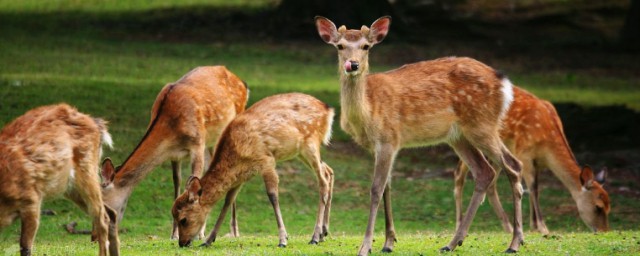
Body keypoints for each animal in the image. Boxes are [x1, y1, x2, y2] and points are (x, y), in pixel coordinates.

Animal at [0, 103, 119, 256]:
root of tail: (97, 124)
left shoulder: (32, 199)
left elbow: (25, 246)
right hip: (71, 188)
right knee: (111, 213)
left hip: (87, 171)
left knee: (102, 217)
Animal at [100, 65, 250, 240]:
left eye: (105, 206)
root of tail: (242, 82)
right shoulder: (174, 154)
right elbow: (177, 183)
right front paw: (174, 234)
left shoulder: (197, 143)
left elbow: (193, 182)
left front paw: (194, 233)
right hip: (211, 141)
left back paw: (234, 231)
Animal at [172, 92, 338, 248]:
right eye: (173, 215)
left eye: (183, 219)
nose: (182, 243)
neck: (237, 155)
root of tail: (329, 110)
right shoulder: (241, 176)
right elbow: (228, 201)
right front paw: (208, 240)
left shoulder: (266, 160)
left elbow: (272, 196)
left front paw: (283, 239)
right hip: (301, 153)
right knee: (328, 171)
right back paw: (323, 232)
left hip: (311, 143)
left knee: (323, 181)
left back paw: (315, 237)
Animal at [318, 16, 528, 254]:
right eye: (340, 46)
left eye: (366, 46)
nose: (353, 64)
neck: (367, 111)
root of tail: (505, 84)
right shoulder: (381, 146)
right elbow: (387, 187)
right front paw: (388, 242)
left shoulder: (388, 138)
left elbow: (376, 189)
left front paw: (366, 246)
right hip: (459, 136)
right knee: (485, 172)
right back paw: (453, 243)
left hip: (482, 124)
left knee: (513, 165)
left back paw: (514, 242)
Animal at [452, 86, 612, 234]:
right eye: (598, 207)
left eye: (609, 206)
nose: (604, 231)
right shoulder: (525, 154)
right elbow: (533, 189)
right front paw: (542, 228)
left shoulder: (537, 163)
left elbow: (534, 188)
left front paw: (533, 226)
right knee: (459, 174)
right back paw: (459, 223)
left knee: (490, 182)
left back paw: (508, 228)